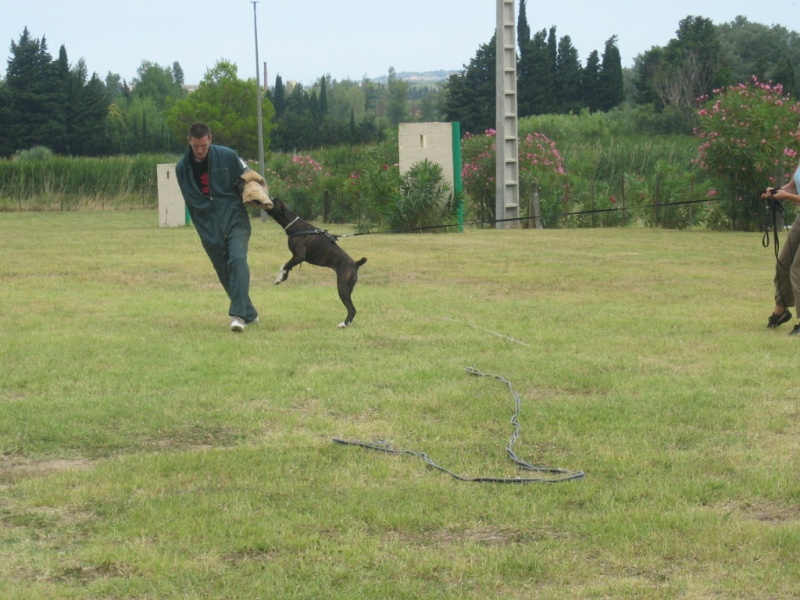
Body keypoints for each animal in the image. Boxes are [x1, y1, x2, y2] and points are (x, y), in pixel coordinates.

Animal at [268, 197, 368, 328]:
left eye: (273, 201)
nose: (268, 197)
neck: (295, 225)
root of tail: (355, 264)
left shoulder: (299, 256)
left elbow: (284, 265)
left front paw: (278, 278)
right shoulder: (295, 257)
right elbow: (287, 267)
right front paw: (284, 277)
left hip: (343, 287)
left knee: (352, 309)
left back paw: (344, 324)